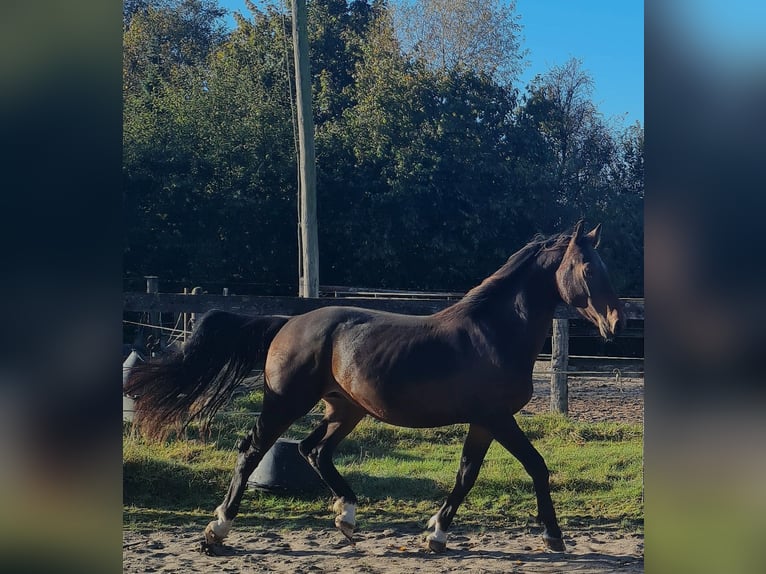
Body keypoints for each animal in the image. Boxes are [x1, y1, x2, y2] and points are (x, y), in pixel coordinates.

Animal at [126, 220, 628, 552]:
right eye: (587, 268)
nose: (615, 323)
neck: (495, 332)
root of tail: (286, 322)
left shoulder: (485, 423)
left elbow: (466, 475)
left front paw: (436, 534)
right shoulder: (496, 418)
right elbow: (536, 467)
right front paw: (553, 536)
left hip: (345, 409)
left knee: (312, 449)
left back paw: (346, 518)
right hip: (287, 402)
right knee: (252, 450)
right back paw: (217, 531)